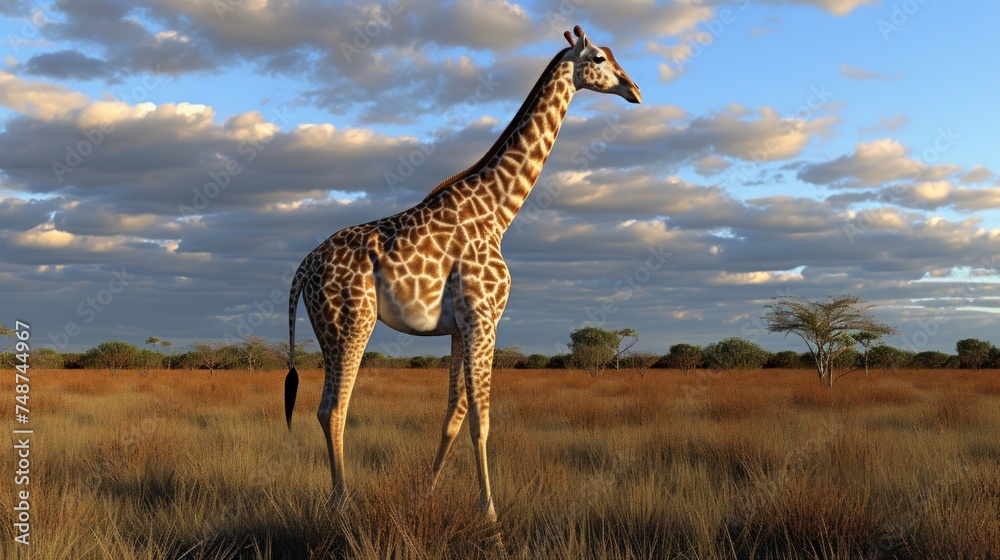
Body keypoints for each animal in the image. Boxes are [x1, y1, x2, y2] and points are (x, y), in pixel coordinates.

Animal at [285, 25, 641, 521]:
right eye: (599, 58)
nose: (635, 90)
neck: (498, 211)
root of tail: (304, 268)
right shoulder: (484, 317)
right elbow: (480, 420)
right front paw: (489, 513)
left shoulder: (458, 326)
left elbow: (452, 417)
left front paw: (424, 495)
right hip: (349, 322)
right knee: (333, 408)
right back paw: (342, 503)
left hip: (333, 327)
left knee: (327, 407)